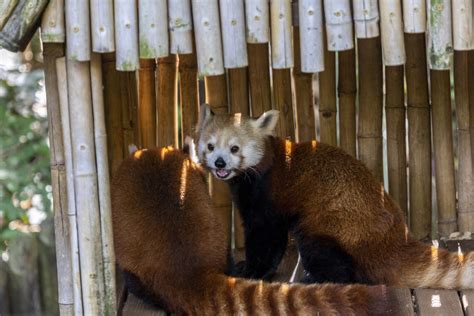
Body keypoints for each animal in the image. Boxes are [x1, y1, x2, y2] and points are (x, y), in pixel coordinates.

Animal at [195, 105, 474, 290]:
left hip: (331, 224)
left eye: (234, 148)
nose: (220, 163)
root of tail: (394, 239)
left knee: (328, 256)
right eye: (210, 146)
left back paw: (316, 278)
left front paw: (251, 270)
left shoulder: (268, 194)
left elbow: (267, 237)